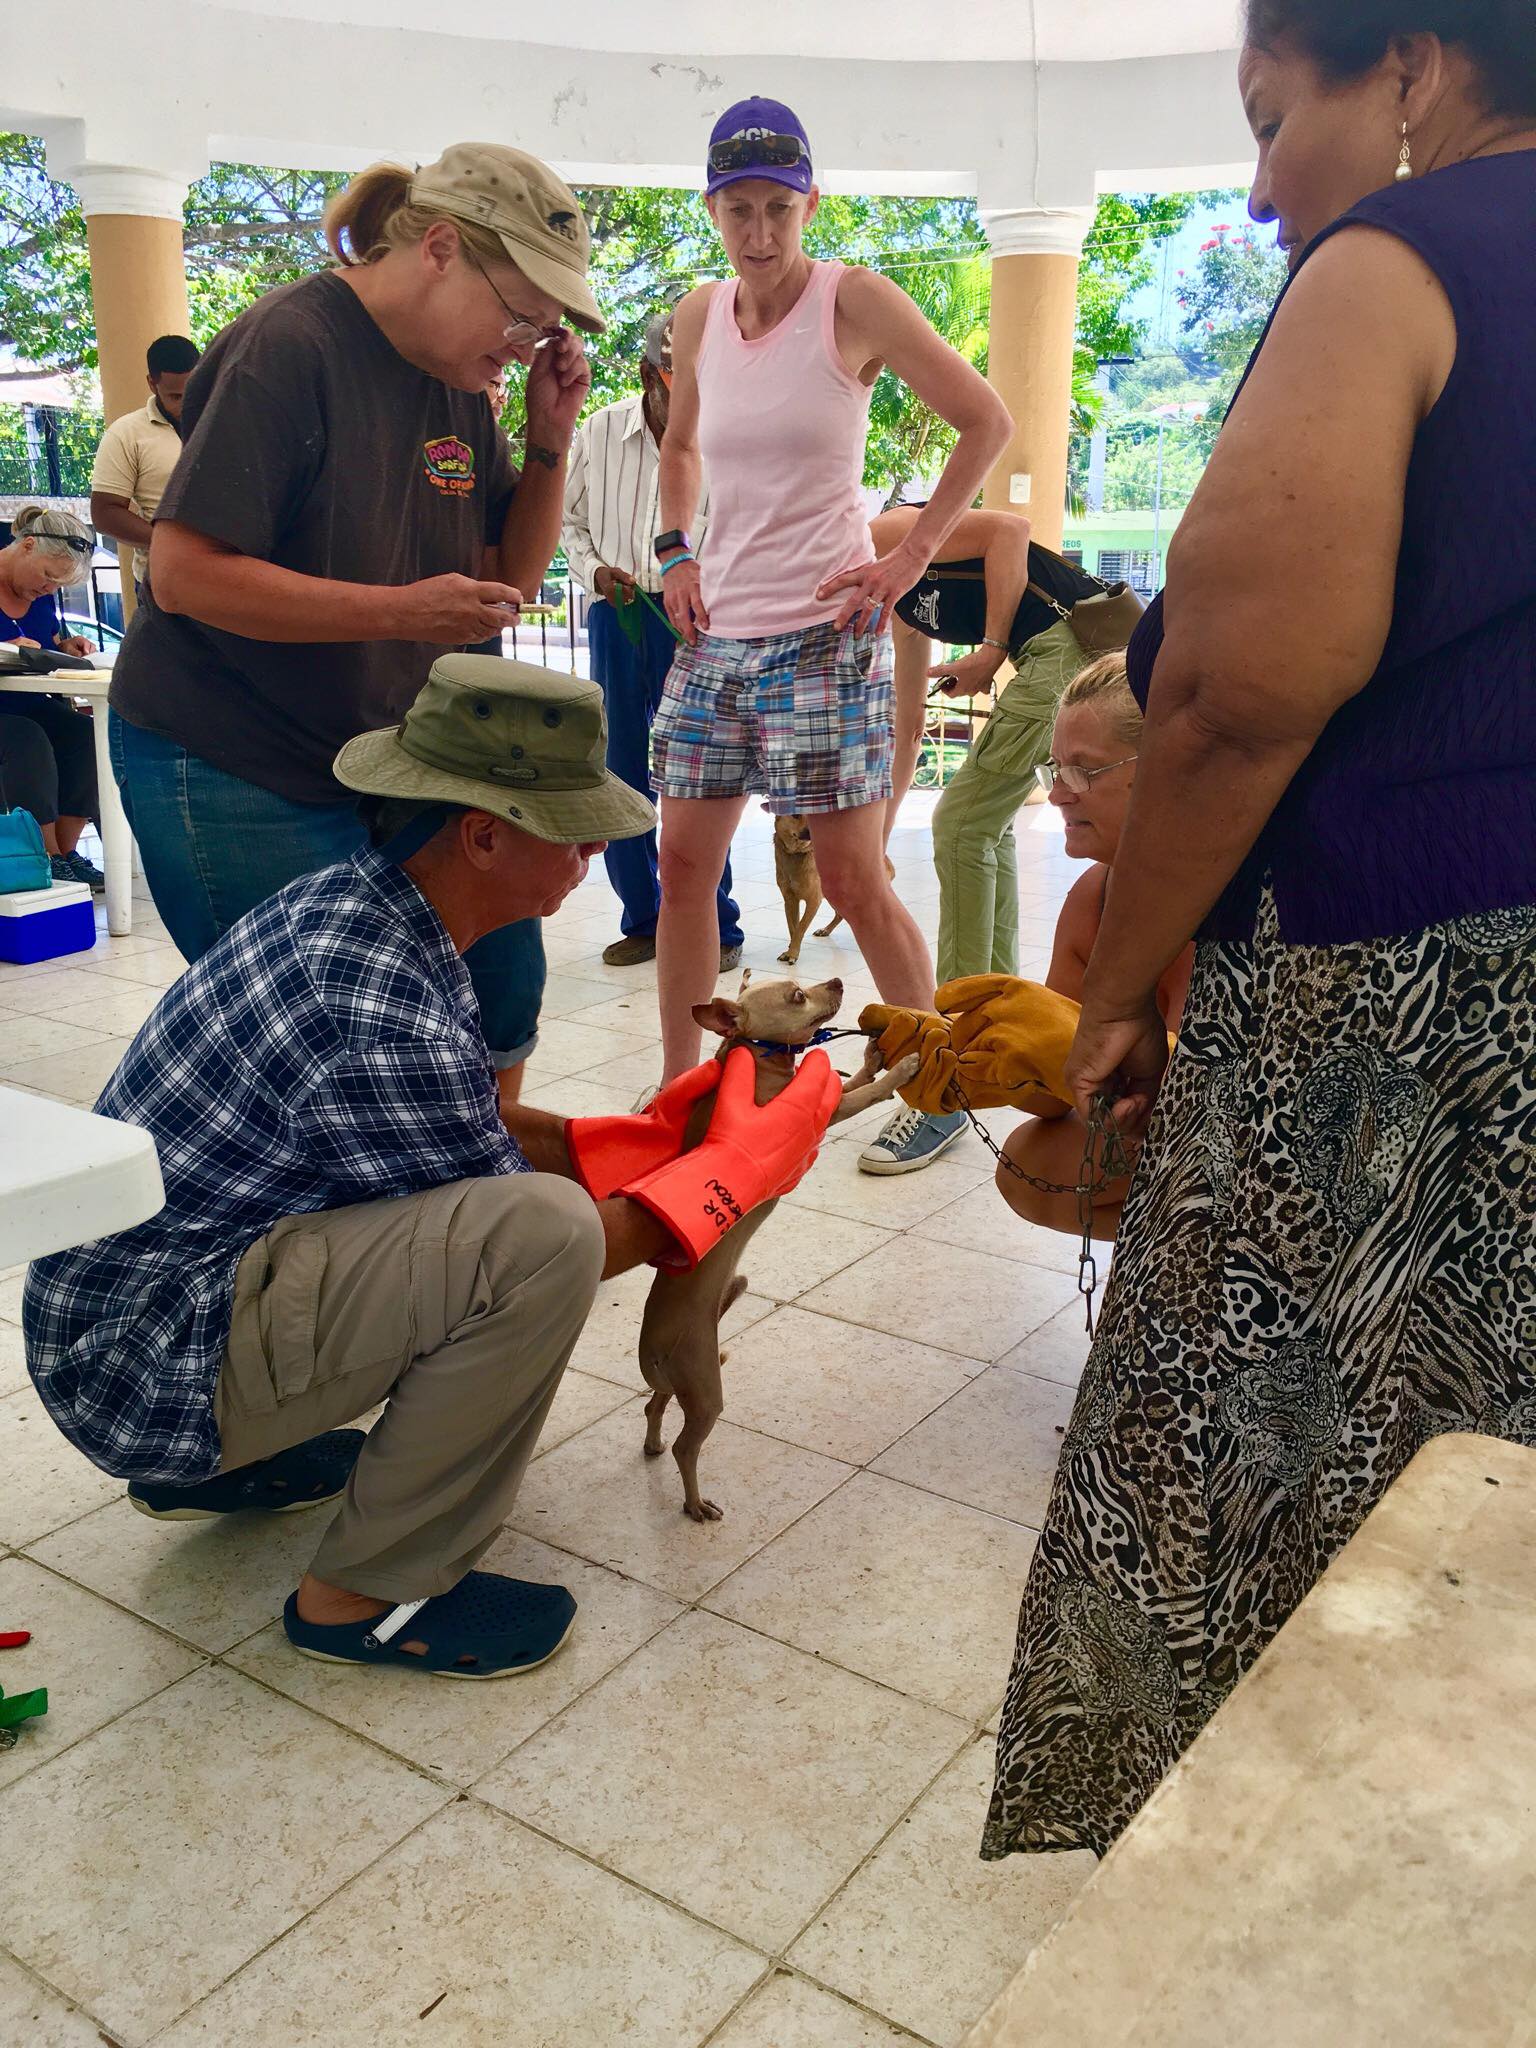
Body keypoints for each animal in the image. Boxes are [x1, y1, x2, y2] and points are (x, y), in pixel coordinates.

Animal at [634, 970, 913, 1523]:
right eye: (797, 996)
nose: (837, 979)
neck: (756, 1056)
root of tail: (652, 1348)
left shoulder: (821, 1098)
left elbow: (854, 1080)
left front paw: (874, 1056)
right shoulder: (825, 1111)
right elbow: (866, 1094)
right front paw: (902, 1068)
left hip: (679, 1384)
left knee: (655, 1406)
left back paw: (653, 1445)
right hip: (705, 1391)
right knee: (685, 1446)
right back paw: (694, 1502)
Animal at [770, 806, 901, 966]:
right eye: (796, 815)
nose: (811, 833)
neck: (797, 853)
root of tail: (886, 860)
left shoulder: (813, 901)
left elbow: (801, 927)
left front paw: (793, 953)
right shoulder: (790, 901)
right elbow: (793, 928)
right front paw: (790, 950)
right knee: (839, 915)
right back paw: (826, 930)